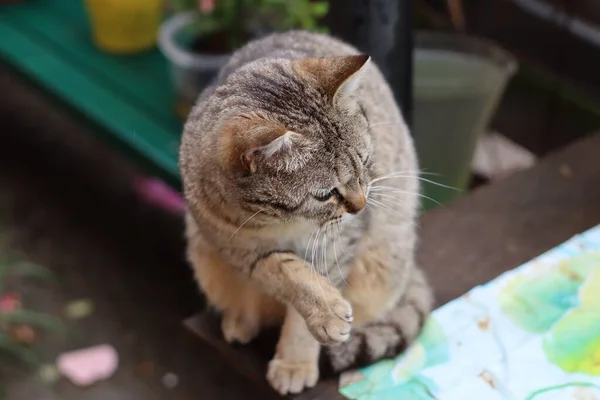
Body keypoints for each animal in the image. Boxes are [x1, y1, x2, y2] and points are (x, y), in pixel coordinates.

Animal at [180, 30, 434, 394]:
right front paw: (322, 311)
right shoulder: (236, 247)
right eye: (327, 194)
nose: (361, 206)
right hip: (204, 255)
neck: (279, 222)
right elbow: (286, 273)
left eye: (366, 163)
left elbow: (307, 301)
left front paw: (296, 360)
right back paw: (241, 320)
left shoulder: (338, 243)